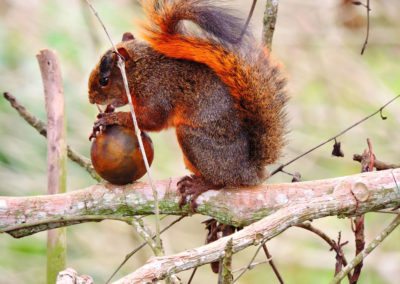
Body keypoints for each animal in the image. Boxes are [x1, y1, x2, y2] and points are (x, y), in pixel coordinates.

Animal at [87, 0, 288, 209]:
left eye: (104, 80)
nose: (91, 98)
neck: (144, 71)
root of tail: (250, 171)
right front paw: (103, 116)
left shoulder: (158, 93)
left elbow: (151, 120)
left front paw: (111, 117)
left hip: (194, 141)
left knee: (222, 181)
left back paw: (200, 185)